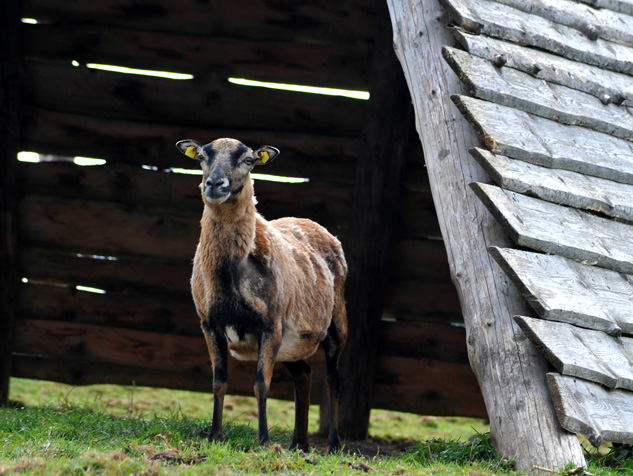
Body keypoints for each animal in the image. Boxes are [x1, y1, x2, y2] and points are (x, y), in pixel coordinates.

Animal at [175, 139, 348, 454]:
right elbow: (218, 383)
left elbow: (261, 384)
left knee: (333, 379)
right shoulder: (209, 323)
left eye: (248, 160)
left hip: (337, 323)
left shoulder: (271, 322)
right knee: (304, 373)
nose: (214, 184)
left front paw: (265, 441)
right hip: (292, 343)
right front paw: (215, 436)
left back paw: (332, 444)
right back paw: (298, 443)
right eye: (202, 157)